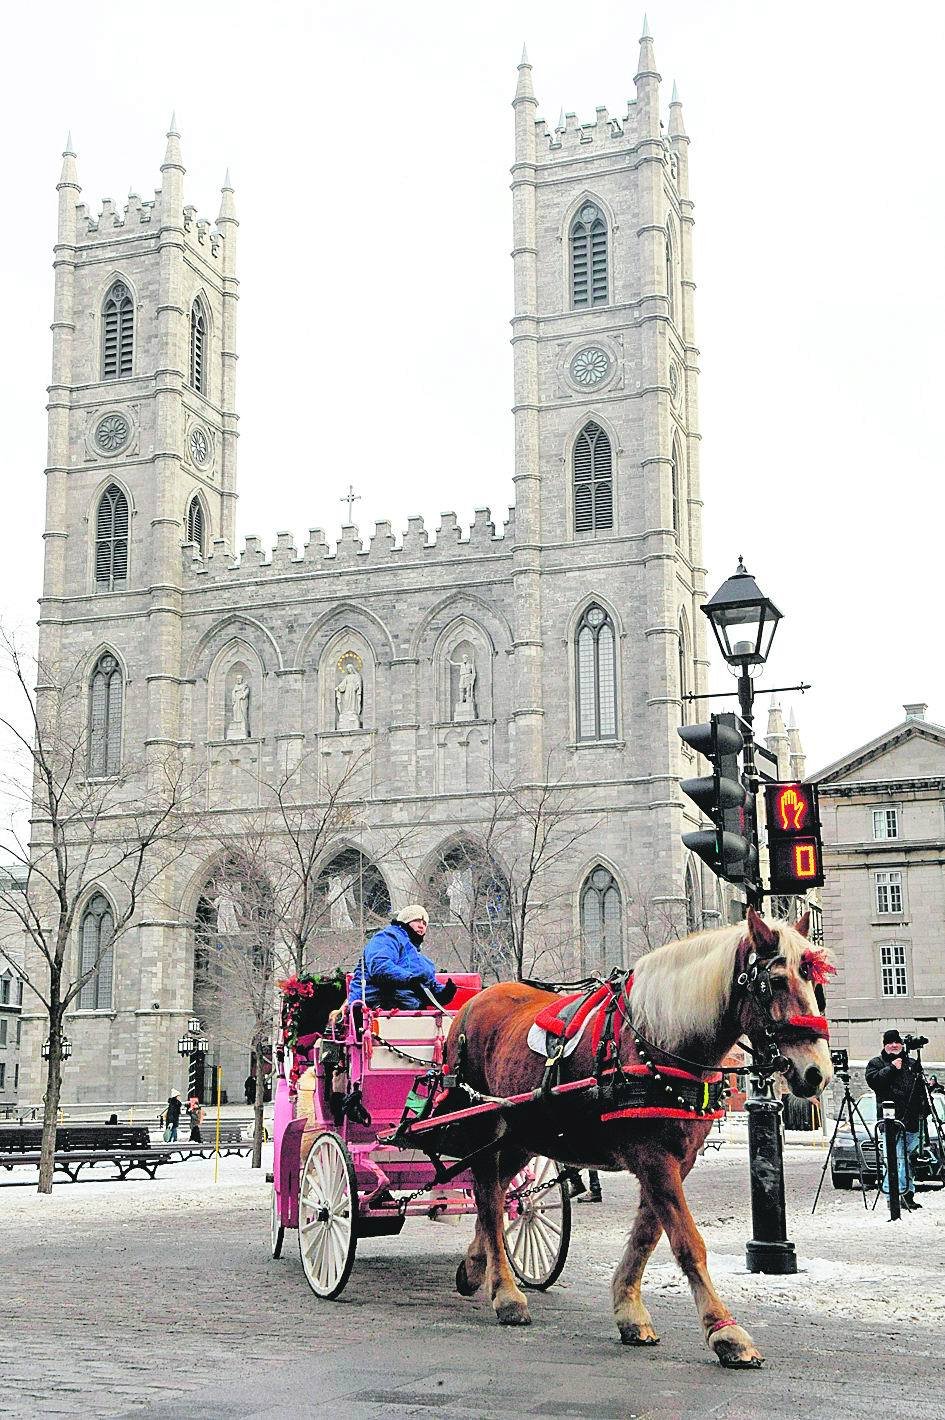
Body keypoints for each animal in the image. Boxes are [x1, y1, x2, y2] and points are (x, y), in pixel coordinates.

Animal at [443, 908, 835, 1363]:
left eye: (815, 985)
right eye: (775, 981)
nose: (817, 1072)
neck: (660, 1042)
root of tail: (472, 1004)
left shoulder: (678, 1158)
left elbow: (648, 1234)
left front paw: (629, 1309)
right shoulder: (653, 1156)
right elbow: (686, 1241)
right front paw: (725, 1331)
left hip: (521, 1136)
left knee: (499, 1194)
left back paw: (476, 1266)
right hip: (483, 1127)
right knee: (490, 1200)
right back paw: (506, 1294)